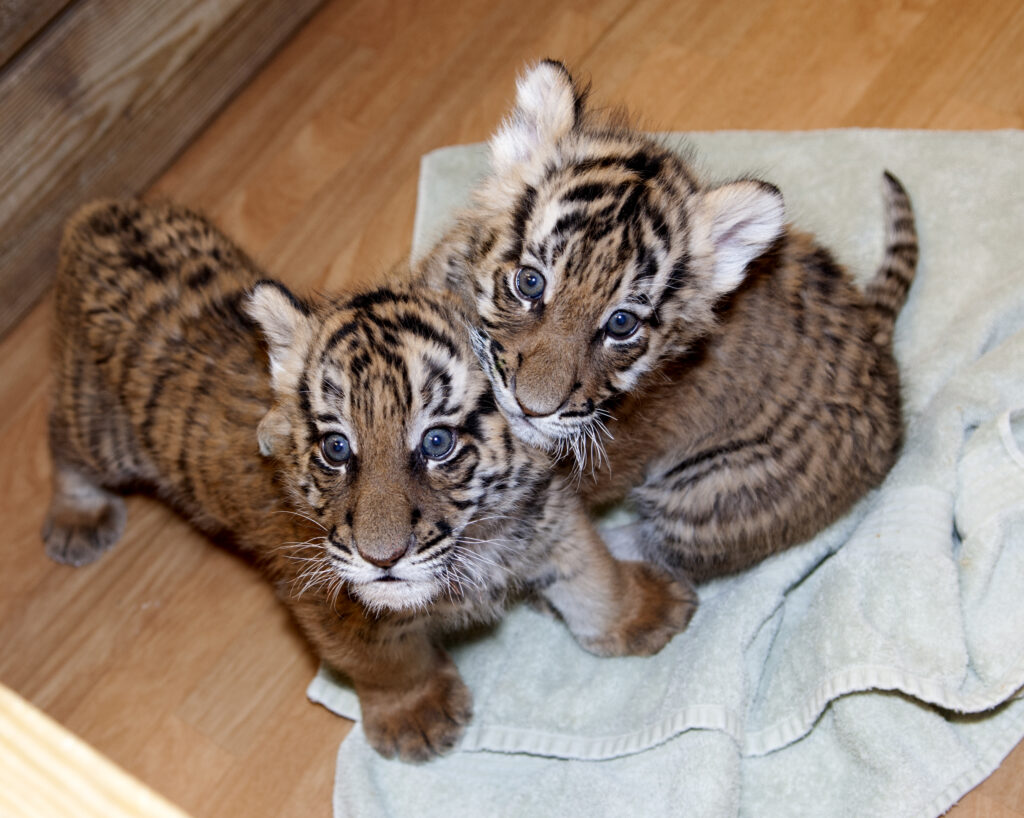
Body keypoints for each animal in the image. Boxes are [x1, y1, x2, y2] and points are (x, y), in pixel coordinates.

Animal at [42, 199, 694, 762]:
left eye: (437, 442)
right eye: (336, 449)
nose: (383, 558)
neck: (477, 537)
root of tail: (100, 213)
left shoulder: (547, 518)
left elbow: (593, 578)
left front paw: (645, 612)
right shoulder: (324, 596)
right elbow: (385, 661)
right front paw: (417, 718)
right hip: (103, 434)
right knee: (60, 439)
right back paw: (77, 520)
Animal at [419, 60, 918, 585]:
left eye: (622, 324)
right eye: (530, 283)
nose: (532, 408)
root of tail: (875, 333)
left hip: (709, 495)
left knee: (667, 551)